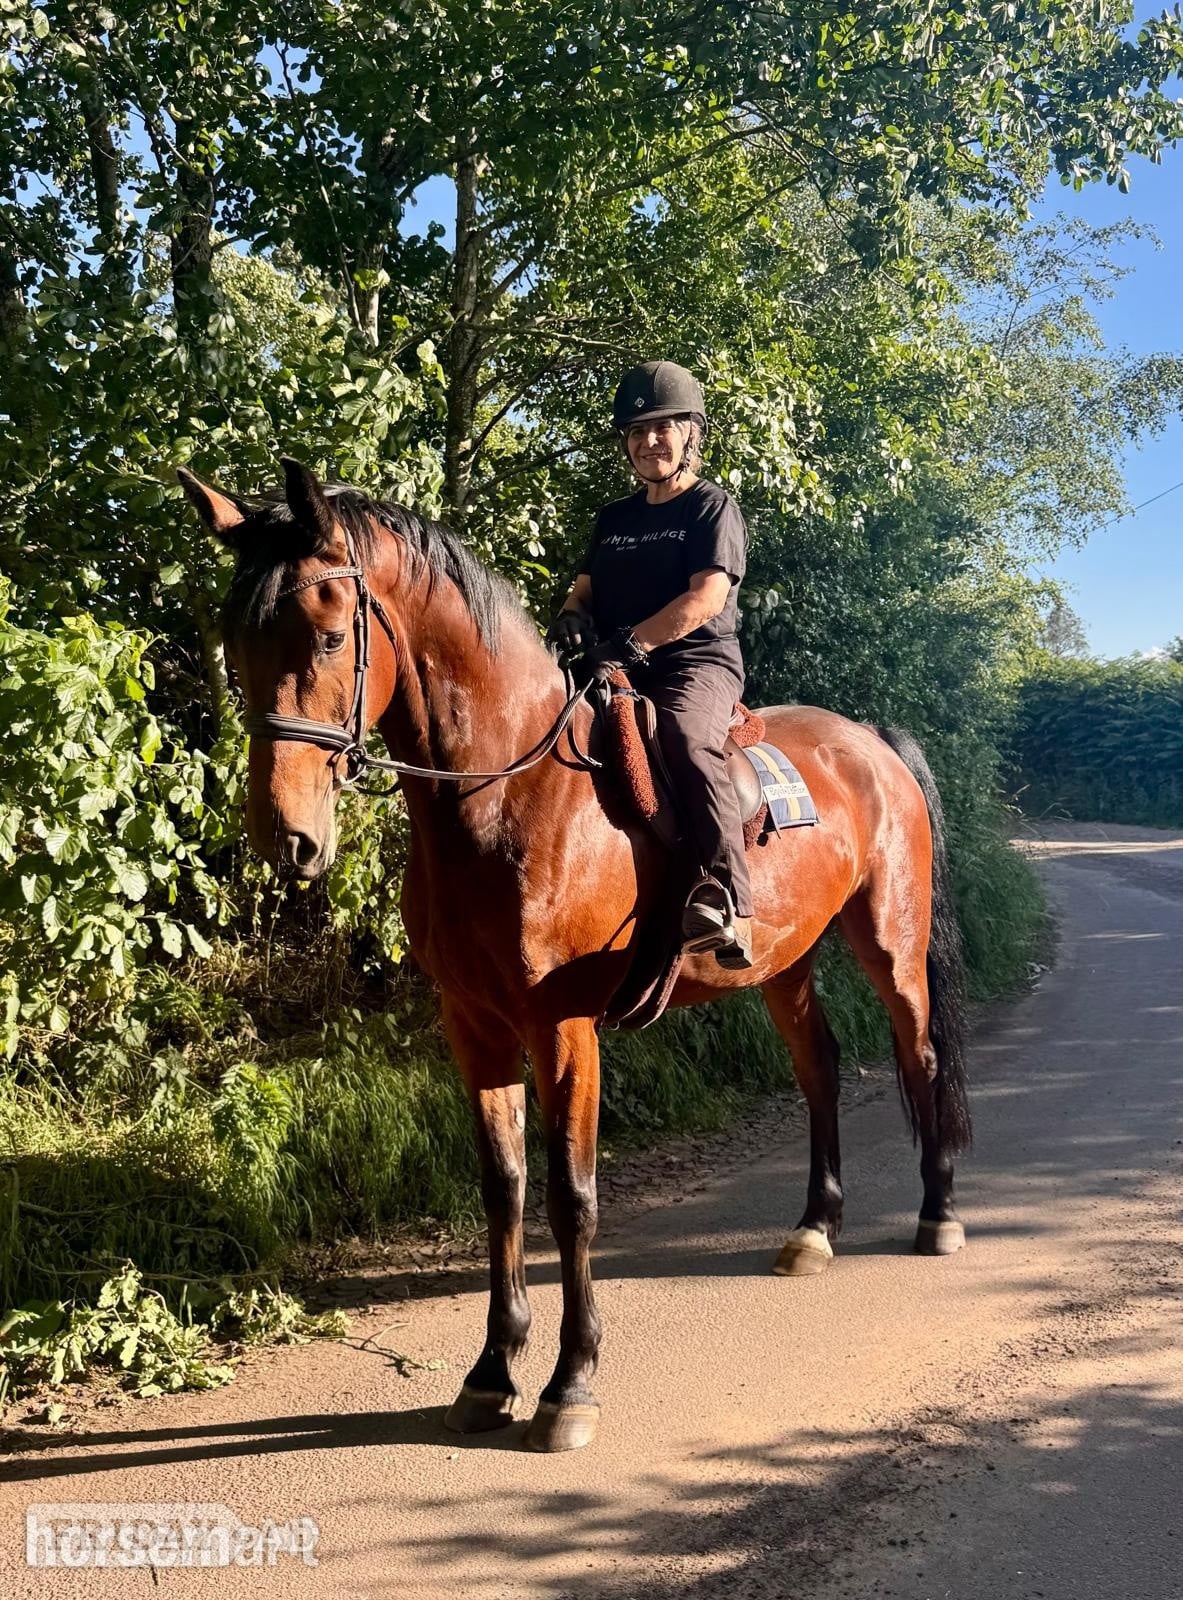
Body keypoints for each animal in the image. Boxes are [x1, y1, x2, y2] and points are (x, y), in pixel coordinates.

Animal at [178, 456, 972, 1454]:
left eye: (327, 636)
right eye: (233, 640)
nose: (285, 839)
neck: (509, 795)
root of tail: (871, 741)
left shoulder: (563, 1028)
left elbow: (572, 1197)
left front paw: (570, 1384)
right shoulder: (475, 1026)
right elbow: (504, 1186)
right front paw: (490, 1373)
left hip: (890, 943)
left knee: (920, 1054)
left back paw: (937, 1214)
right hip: (783, 963)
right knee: (820, 1069)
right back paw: (813, 1231)